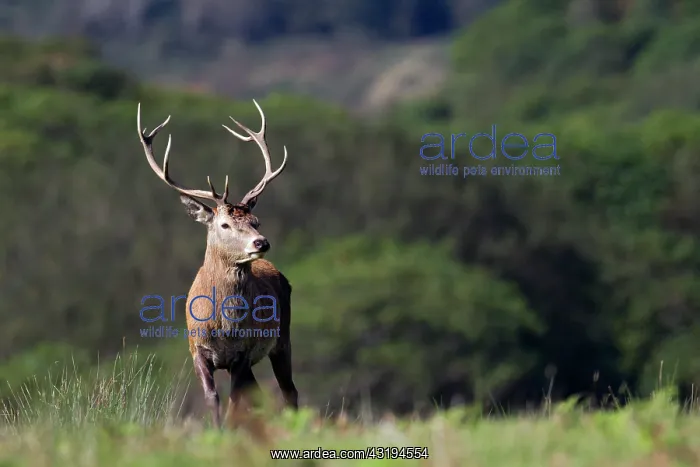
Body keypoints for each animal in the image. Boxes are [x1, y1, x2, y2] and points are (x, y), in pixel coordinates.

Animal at [136, 100, 298, 429]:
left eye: (256, 220)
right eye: (224, 224)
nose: (261, 242)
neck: (223, 328)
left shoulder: (243, 352)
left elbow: (236, 400)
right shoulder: (197, 350)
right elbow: (214, 398)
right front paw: (217, 430)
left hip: (282, 338)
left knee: (289, 391)